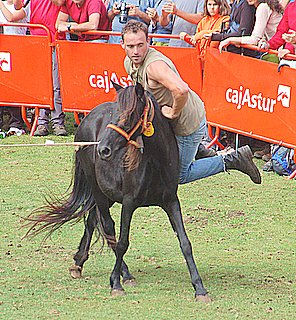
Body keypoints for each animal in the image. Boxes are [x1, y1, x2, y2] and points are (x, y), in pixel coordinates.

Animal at [26, 82, 210, 302]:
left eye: (130, 114)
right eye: (114, 113)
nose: (103, 149)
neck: (154, 161)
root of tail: (86, 121)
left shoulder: (171, 202)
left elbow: (185, 243)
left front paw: (199, 287)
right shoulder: (129, 203)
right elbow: (122, 242)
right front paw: (115, 283)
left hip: (106, 196)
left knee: (92, 220)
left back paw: (79, 262)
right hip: (98, 191)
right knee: (107, 227)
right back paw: (124, 274)